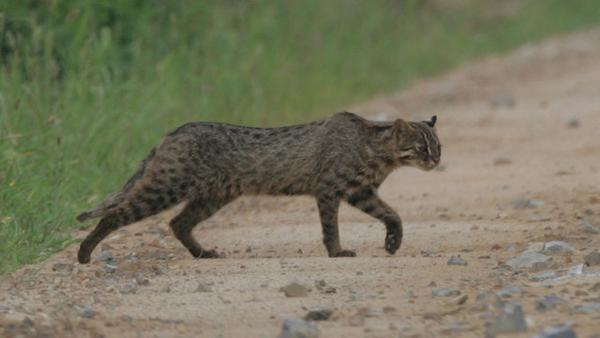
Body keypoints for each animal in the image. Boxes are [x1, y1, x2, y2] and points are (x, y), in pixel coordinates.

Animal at [76, 112, 440, 262]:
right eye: (421, 148)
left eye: (439, 146)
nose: (436, 161)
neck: (378, 153)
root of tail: (173, 131)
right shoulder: (330, 190)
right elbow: (330, 228)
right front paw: (336, 252)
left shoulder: (360, 192)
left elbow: (393, 215)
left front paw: (392, 243)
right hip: (167, 186)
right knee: (115, 214)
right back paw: (84, 253)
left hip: (214, 195)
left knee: (178, 223)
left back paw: (202, 253)